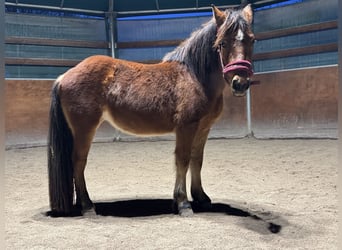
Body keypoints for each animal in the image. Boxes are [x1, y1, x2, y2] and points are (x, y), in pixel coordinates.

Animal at [48, 4, 254, 217]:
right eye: (222, 43)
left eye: (252, 39)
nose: (240, 83)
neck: (194, 77)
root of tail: (64, 77)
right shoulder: (186, 127)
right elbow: (183, 159)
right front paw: (183, 203)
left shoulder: (204, 127)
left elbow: (197, 160)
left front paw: (201, 197)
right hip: (84, 129)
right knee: (78, 162)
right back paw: (88, 206)